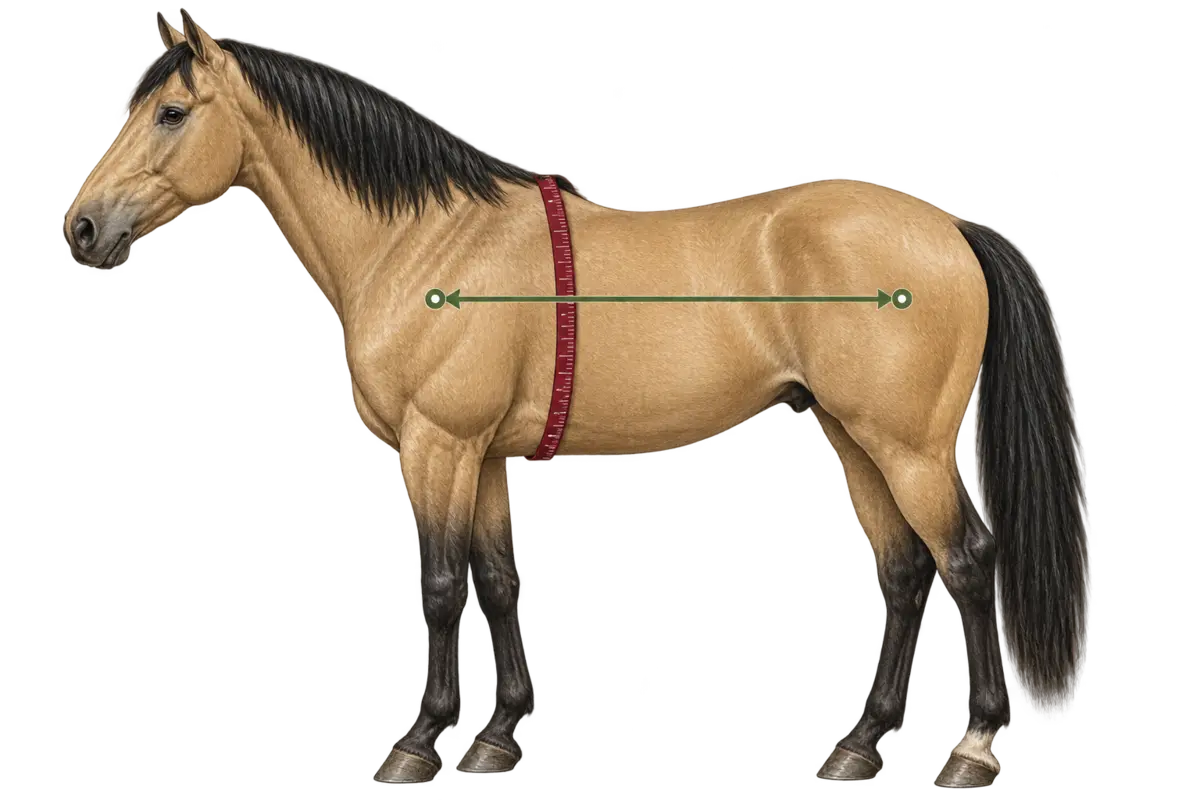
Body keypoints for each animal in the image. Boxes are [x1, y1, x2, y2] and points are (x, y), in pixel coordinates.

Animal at [63, 11, 1088, 789]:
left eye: (172, 112)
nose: (81, 226)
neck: (428, 243)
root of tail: (947, 226)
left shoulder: (438, 446)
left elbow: (443, 586)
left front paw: (415, 747)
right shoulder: (486, 458)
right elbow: (497, 580)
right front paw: (493, 741)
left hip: (910, 446)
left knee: (967, 563)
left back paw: (973, 752)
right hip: (852, 438)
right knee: (907, 574)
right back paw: (858, 749)